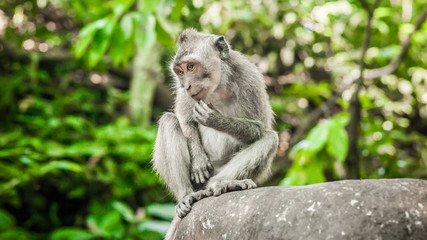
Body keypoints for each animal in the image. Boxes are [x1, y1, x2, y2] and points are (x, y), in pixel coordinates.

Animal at [152, 28, 280, 236]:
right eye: (180, 72)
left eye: (191, 67)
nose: (187, 85)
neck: (218, 87)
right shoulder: (186, 94)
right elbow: (185, 120)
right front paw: (198, 161)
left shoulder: (250, 79)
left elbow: (259, 128)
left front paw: (215, 119)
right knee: (168, 122)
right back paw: (186, 195)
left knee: (269, 138)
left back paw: (222, 183)